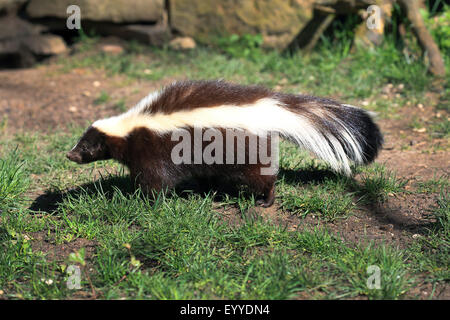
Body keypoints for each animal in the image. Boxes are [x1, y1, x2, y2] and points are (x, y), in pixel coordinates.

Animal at [67, 80, 384, 208]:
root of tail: (269, 106)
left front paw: (143, 200)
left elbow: (156, 180)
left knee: (263, 176)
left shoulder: (154, 149)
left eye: (85, 147)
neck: (130, 127)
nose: (70, 155)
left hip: (246, 150)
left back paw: (266, 200)